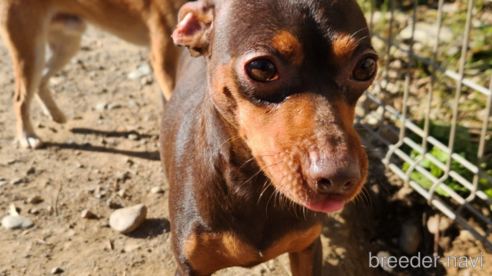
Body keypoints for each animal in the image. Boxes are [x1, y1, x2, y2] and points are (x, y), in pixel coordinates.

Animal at [0, 0, 187, 149]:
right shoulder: (164, 60)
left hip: (67, 46)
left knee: (40, 82)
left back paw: (55, 114)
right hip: (32, 51)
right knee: (20, 98)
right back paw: (27, 136)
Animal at [160, 0, 378, 274]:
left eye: (366, 67)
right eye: (262, 68)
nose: (339, 178)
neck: (253, 186)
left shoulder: (308, 248)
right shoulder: (189, 267)